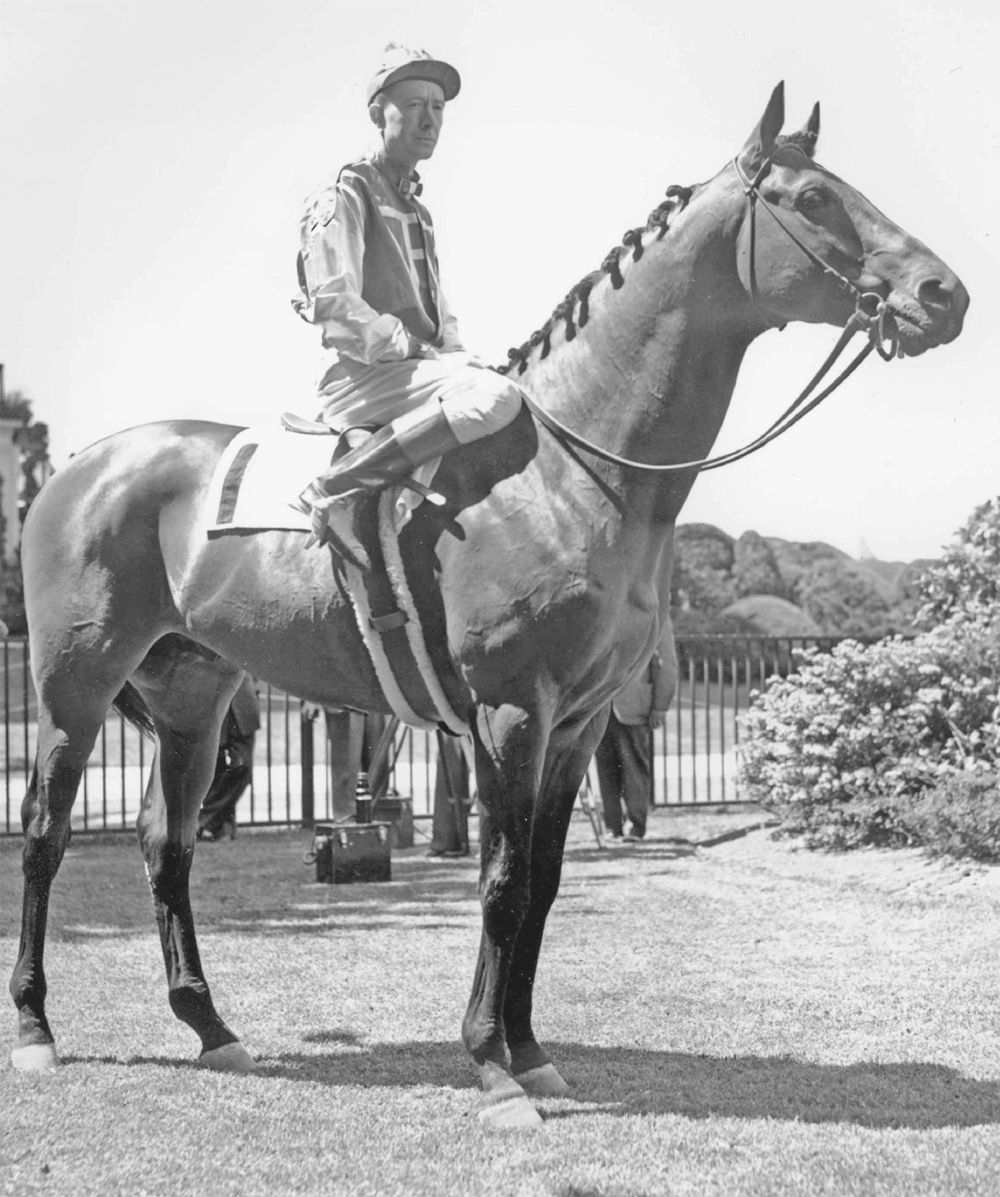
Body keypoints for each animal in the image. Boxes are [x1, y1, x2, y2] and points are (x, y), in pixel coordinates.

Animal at [7, 86, 967, 1129]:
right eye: (812, 198)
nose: (945, 294)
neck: (570, 467)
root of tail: (84, 466)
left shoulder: (579, 721)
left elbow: (543, 882)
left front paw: (532, 1051)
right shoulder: (512, 709)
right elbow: (504, 882)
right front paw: (492, 1063)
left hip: (191, 694)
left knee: (167, 844)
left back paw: (210, 1025)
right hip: (75, 686)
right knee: (46, 833)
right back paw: (36, 1028)